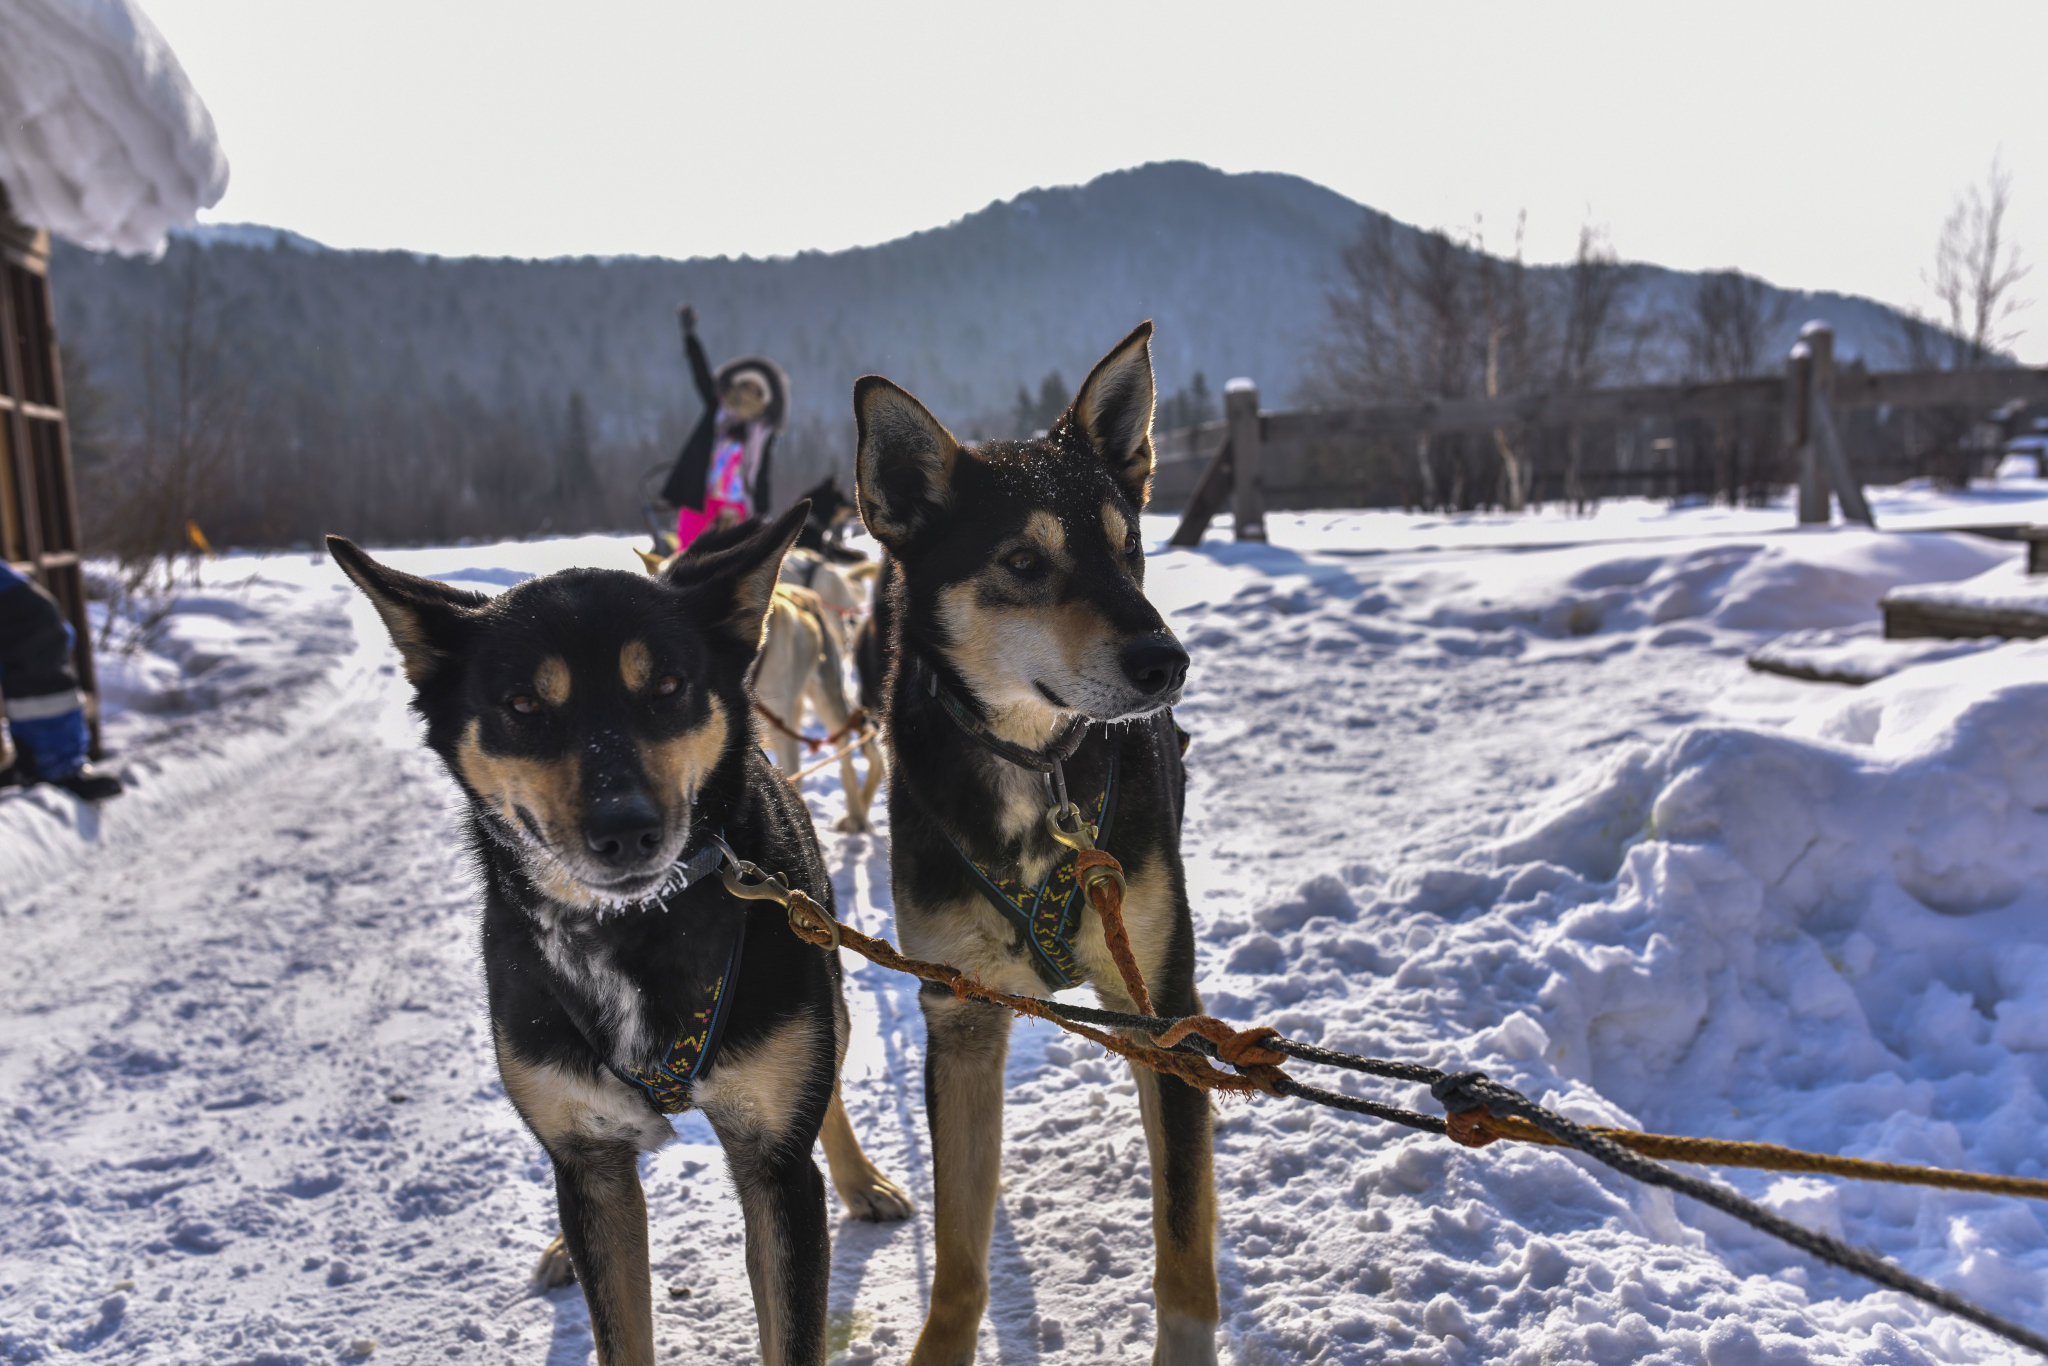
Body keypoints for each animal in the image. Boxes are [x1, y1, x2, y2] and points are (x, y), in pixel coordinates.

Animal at [325, 501, 905, 1366]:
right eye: (522, 705)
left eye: (666, 685)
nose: (626, 830)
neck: (634, 935)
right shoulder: (590, 1161)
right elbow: (616, 1321)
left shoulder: (774, 1168)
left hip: (819, 997)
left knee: (828, 1084)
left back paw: (861, 1179)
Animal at [851, 323, 1212, 1366]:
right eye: (1021, 561)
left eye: (1130, 549)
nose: (1166, 661)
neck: (1035, 771)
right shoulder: (960, 1020)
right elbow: (958, 1260)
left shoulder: (1167, 1017)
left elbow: (1184, 1249)